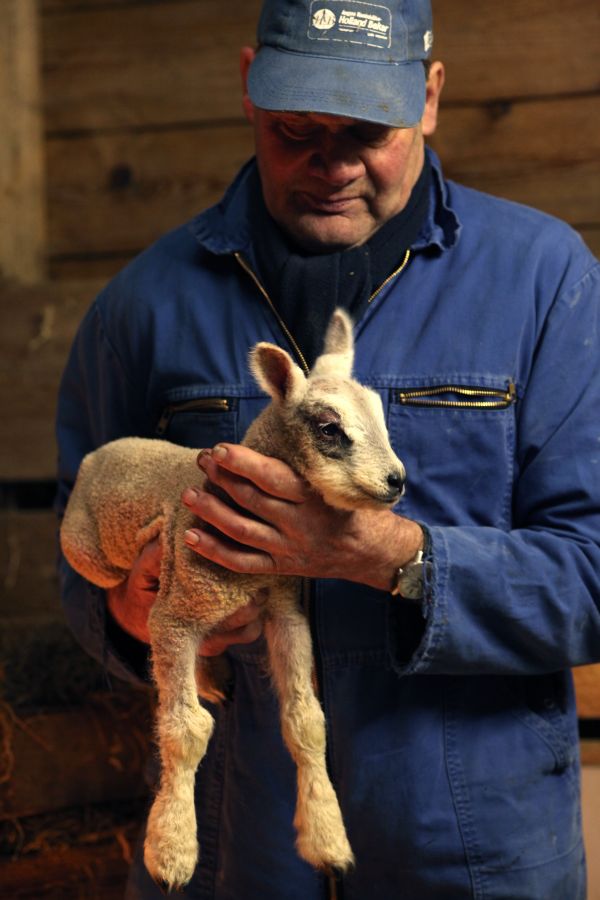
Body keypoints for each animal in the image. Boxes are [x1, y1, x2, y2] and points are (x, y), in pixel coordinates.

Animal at [61, 308, 406, 884]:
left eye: (381, 416)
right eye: (330, 428)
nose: (396, 480)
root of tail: (105, 450)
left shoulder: (284, 609)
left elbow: (306, 720)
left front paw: (327, 837)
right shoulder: (177, 613)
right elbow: (185, 729)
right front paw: (172, 849)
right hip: (89, 554)